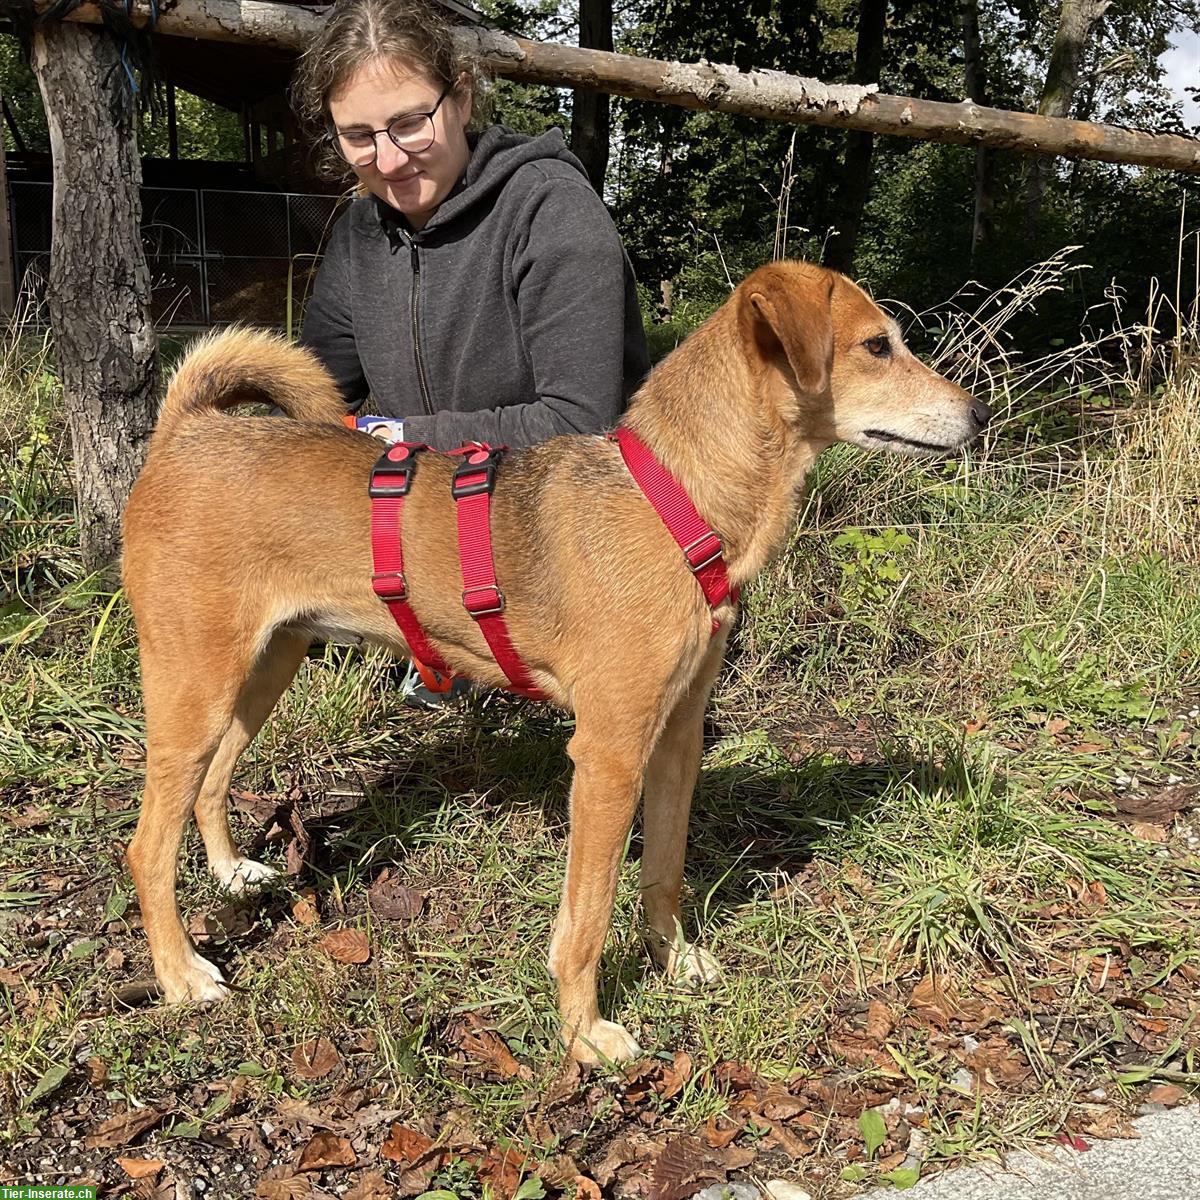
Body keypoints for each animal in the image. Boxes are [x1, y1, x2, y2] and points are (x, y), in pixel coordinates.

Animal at [121, 260, 988, 1060]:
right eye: (878, 346)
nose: (980, 413)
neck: (676, 498)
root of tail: (187, 430)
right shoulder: (607, 757)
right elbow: (588, 917)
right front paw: (584, 1033)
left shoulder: (675, 739)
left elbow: (664, 869)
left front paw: (672, 962)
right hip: (195, 687)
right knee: (146, 845)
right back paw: (181, 974)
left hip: (264, 668)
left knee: (213, 783)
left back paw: (232, 875)